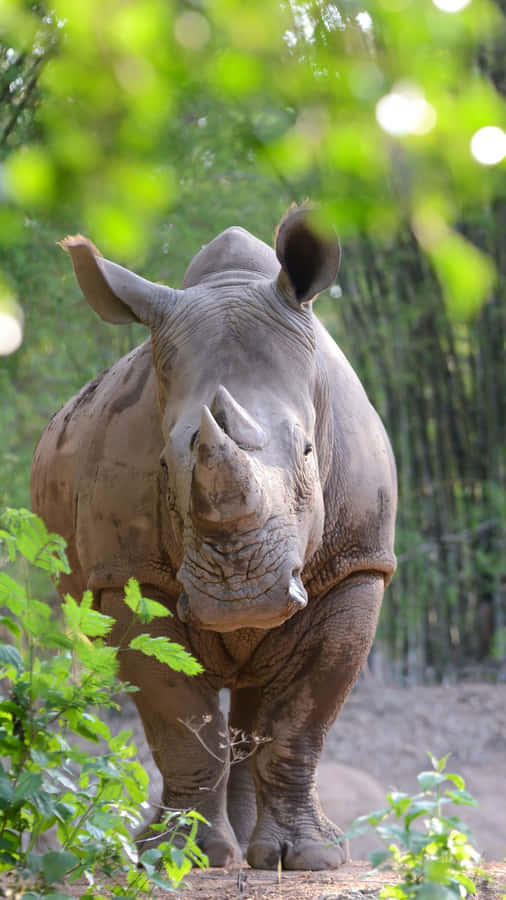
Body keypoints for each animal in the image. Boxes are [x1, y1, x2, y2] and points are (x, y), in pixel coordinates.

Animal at [31, 207, 397, 870]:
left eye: (310, 451)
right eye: (164, 465)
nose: (239, 597)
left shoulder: (359, 562)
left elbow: (301, 719)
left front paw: (311, 860)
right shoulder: (128, 573)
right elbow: (179, 721)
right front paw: (178, 859)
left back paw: (261, 855)